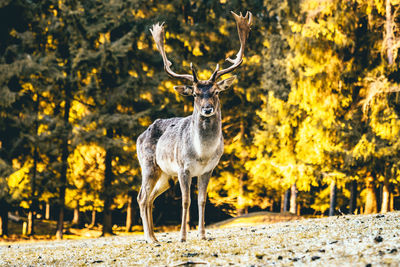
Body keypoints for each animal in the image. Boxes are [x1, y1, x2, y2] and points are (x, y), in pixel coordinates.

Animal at [136, 11, 252, 245]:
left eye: (216, 92)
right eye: (196, 94)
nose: (207, 109)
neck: (202, 154)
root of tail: (139, 137)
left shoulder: (209, 169)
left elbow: (202, 201)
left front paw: (202, 234)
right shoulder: (183, 168)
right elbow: (186, 201)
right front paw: (182, 237)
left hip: (165, 175)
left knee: (150, 198)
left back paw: (154, 236)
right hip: (148, 165)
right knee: (142, 197)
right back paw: (150, 238)